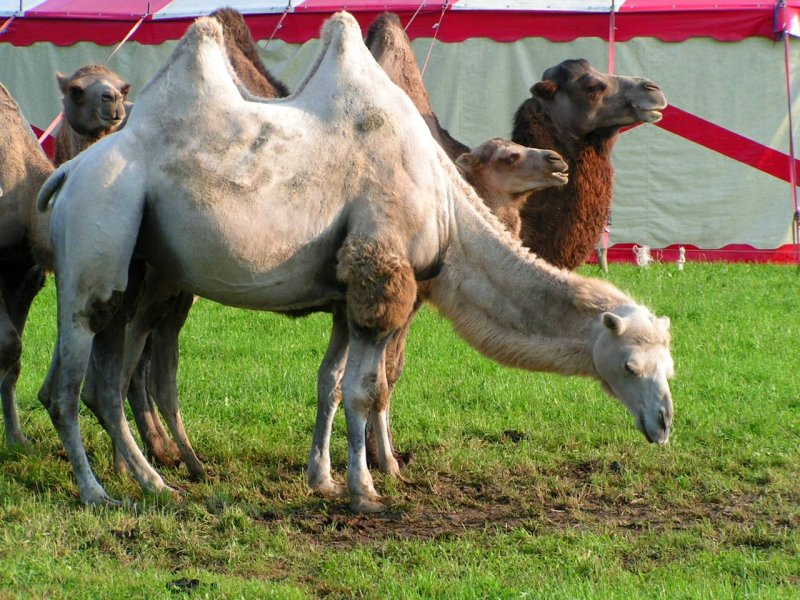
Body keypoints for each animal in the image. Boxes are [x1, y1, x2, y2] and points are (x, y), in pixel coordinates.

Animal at [37, 11, 676, 512]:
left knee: (102, 379)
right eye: (630, 365)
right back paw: (100, 491)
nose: (665, 424)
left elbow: (334, 384)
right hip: (101, 230)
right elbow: (368, 390)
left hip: (139, 269)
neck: (449, 205)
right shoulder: (383, 275)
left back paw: (155, 480)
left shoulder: (351, 291)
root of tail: (69, 172)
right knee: (74, 379)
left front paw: (324, 480)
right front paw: (365, 491)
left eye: (670, 368)